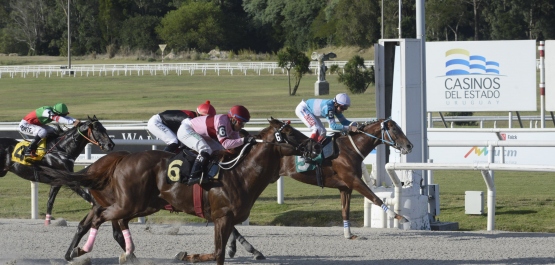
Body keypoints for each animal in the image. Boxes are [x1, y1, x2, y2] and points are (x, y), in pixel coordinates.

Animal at [43, 118, 322, 264]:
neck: (240, 172)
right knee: (100, 219)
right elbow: (217, 252)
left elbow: (222, 250)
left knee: (100, 221)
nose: (314, 144)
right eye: (289, 133)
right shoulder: (222, 217)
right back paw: (84, 250)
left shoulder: (227, 218)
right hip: (129, 203)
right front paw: (187, 254)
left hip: (140, 204)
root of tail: (120, 158)